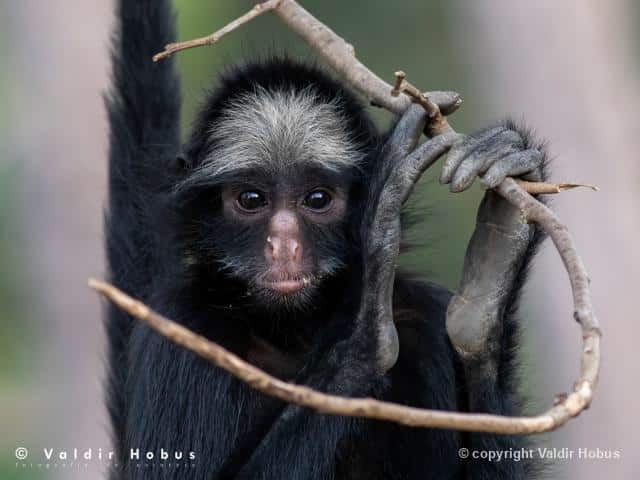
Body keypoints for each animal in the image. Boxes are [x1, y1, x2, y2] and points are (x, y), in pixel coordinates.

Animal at [106, 0, 552, 480]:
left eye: (317, 199)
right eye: (251, 199)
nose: (284, 245)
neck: (294, 334)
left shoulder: (423, 315)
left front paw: (495, 269)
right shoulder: (180, 325)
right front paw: (368, 301)